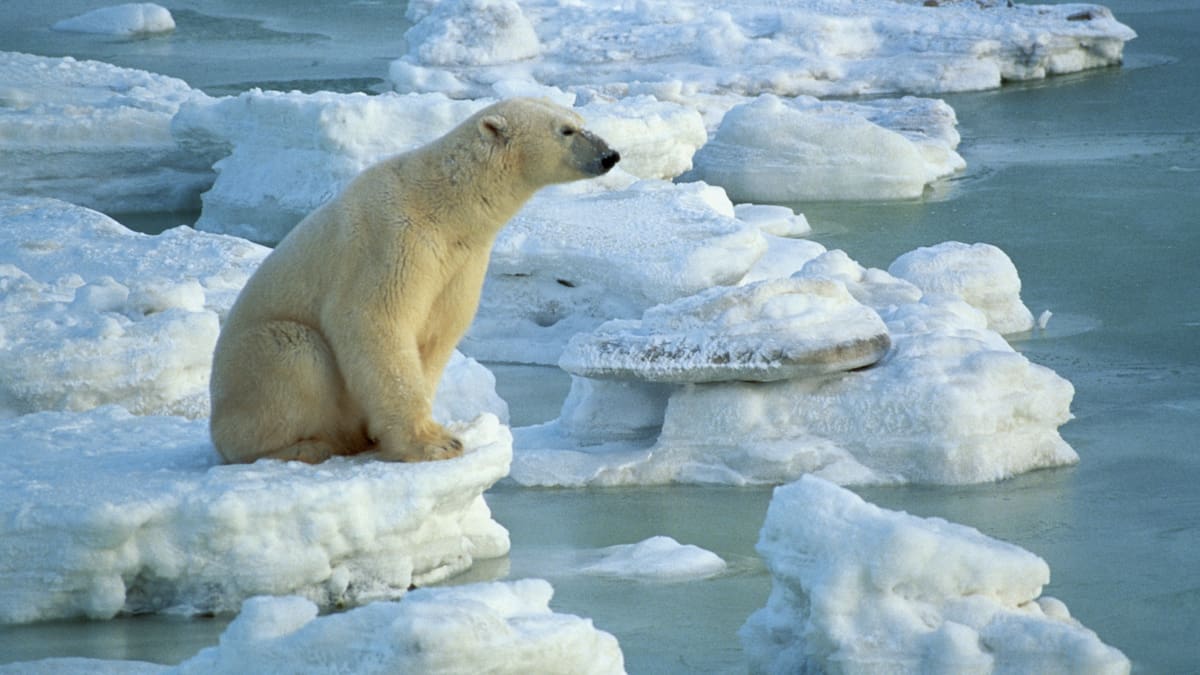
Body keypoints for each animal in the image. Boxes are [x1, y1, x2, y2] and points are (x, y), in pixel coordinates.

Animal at [209, 98, 620, 464]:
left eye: (580, 121)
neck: (443, 204)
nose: (610, 155)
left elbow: (438, 331)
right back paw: (306, 446)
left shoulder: (461, 262)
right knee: (294, 352)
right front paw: (435, 443)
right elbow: (373, 322)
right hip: (249, 369)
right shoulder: (391, 243)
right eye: (565, 130)